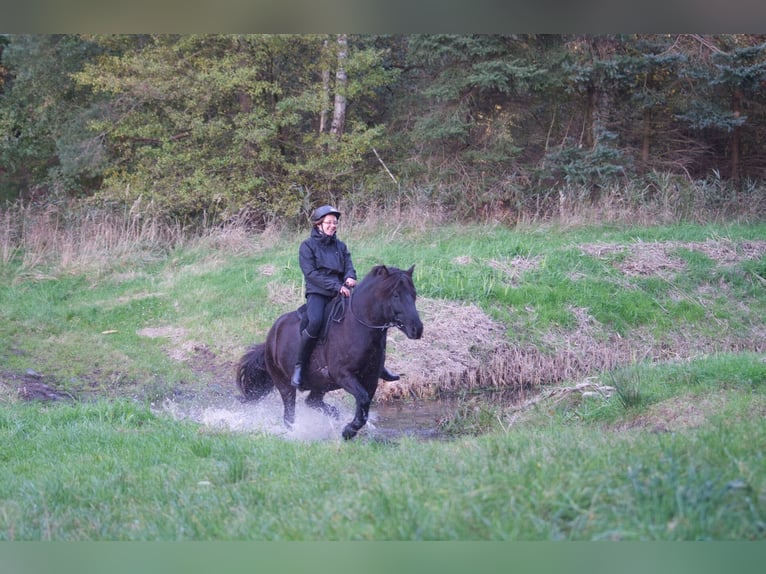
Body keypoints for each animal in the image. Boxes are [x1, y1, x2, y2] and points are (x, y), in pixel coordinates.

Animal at [236, 266, 424, 440]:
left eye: (413, 294)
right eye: (396, 295)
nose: (417, 329)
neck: (358, 327)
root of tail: (270, 338)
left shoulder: (370, 378)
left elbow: (364, 405)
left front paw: (349, 428)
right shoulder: (343, 375)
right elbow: (363, 399)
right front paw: (348, 431)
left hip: (321, 384)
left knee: (312, 401)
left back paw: (333, 415)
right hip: (285, 385)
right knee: (289, 415)